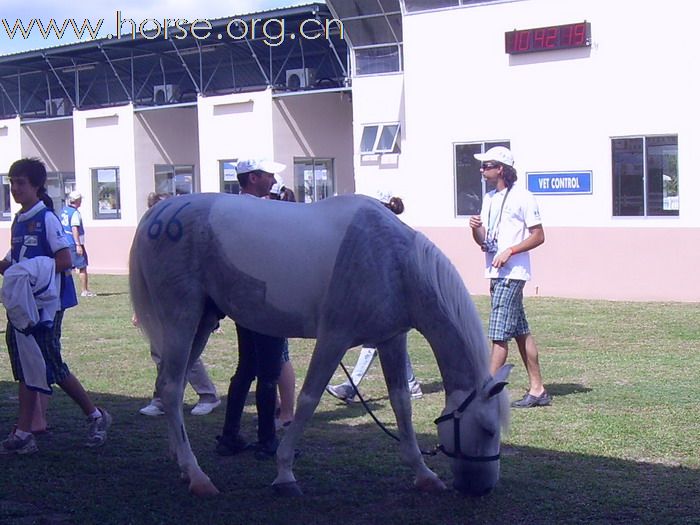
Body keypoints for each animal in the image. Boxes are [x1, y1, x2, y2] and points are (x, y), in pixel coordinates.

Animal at [129, 192, 512, 496]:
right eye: (488, 428)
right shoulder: (334, 338)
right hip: (182, 318)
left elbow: (401, 404)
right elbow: (308, 400)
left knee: (172, 385)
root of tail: (161, 211)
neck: (394, 261)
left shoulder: (390, 339)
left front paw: (424, 474)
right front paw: (285, 474)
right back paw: (197, 476)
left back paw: (180, 461)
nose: (484, 488)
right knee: (172, 387)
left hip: (203, 322)